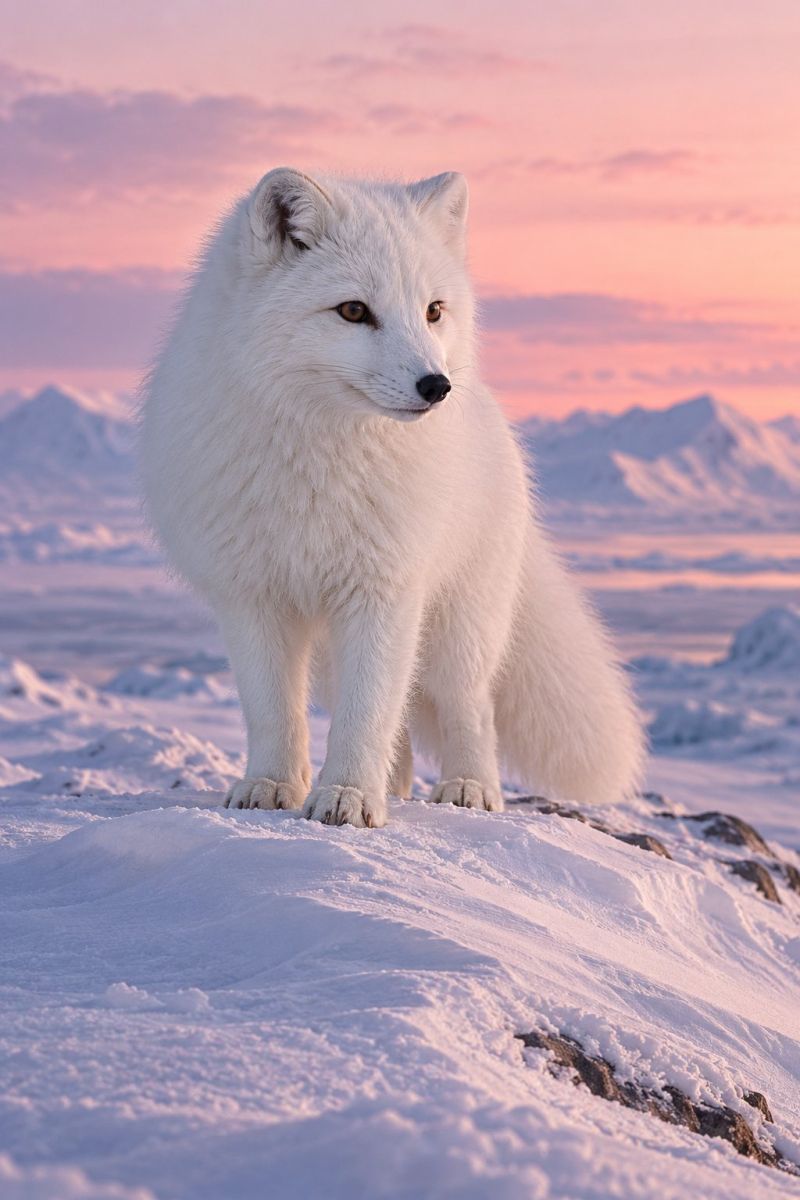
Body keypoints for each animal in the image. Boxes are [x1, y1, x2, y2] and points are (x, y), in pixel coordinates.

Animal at [140, 168, 645, 828]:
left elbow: (368, 713)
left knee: (468, 707)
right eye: (354, 311)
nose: (437, 386)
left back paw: (469, 788)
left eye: (433, 310)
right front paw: (272, 786)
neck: (320, 461)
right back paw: (397, 787)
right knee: (395, 723)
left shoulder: (385, 589)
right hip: (331, 651)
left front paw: (348, 796)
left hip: (458, 625)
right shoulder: (252, 597)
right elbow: (275, 711)